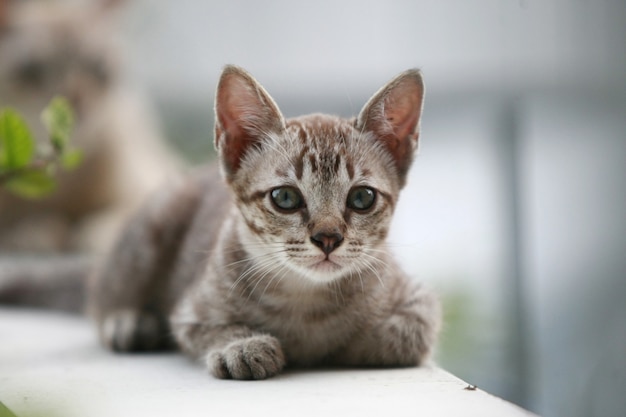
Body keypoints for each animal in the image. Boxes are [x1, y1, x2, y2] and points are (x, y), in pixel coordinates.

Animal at [89, 66, 438, 380]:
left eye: (362, 197)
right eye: (284, 197)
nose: (327, 238)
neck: (305, 298)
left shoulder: (421, 303)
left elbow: (400, 335)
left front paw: (342, 344)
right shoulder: (190, 312)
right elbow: (209, 329)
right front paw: (244, 345)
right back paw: (127, 322)